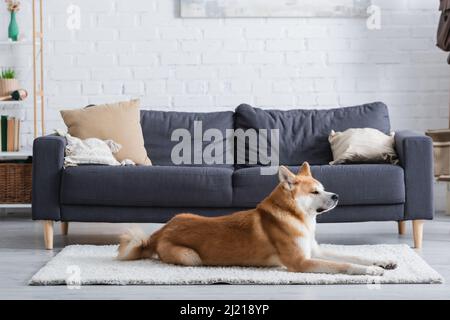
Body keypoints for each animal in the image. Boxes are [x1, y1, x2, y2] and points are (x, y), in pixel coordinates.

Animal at [117, 162, 398, 276]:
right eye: (315, 192)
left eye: (323, 187)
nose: (337, 196)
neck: (297, 217)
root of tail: (161, 231)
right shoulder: (302, 262)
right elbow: (344, 265)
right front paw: (371, 270)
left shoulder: (315, 251)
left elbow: (354, 255)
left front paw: (383, 261)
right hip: (191, 257)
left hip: (183, 214)